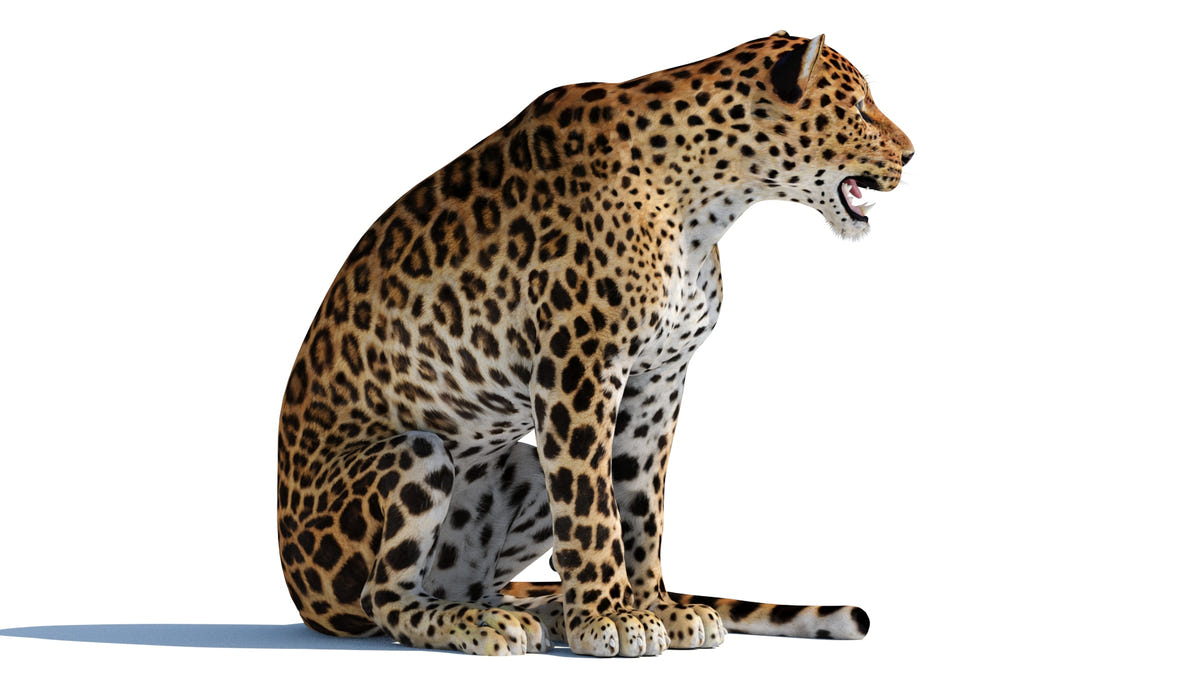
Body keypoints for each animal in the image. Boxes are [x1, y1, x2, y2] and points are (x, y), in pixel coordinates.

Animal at [277, 31, 914, 657]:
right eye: (860, 108)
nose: (910, 155)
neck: (708, 203)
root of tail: (299, 592)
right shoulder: (577, 366)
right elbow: (591, 505)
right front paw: (610, 618)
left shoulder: (659, 377)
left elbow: (639, 504)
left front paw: (657, 608)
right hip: (419, 454)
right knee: (385, 600)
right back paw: (485, 625)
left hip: (522, 469)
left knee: (475, 581)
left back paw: (537, 613)